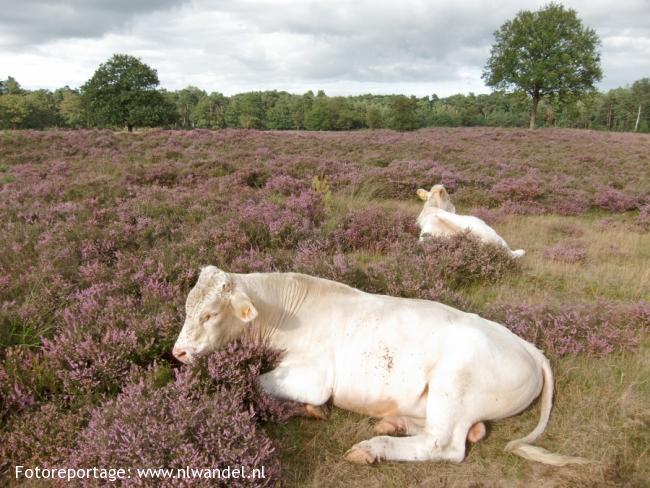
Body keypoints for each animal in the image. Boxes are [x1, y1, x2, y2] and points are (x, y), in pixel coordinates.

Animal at [172, 266, 588, 466]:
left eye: (209, 314)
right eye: (188, 308)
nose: (179, 353)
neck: (285, 313)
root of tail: (528, 345)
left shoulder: (313, 377)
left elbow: (256, 382)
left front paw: (308, 409)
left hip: (453, 384)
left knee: (445, 445)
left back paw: (372, 447)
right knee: (470, 431)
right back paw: (392, 423)